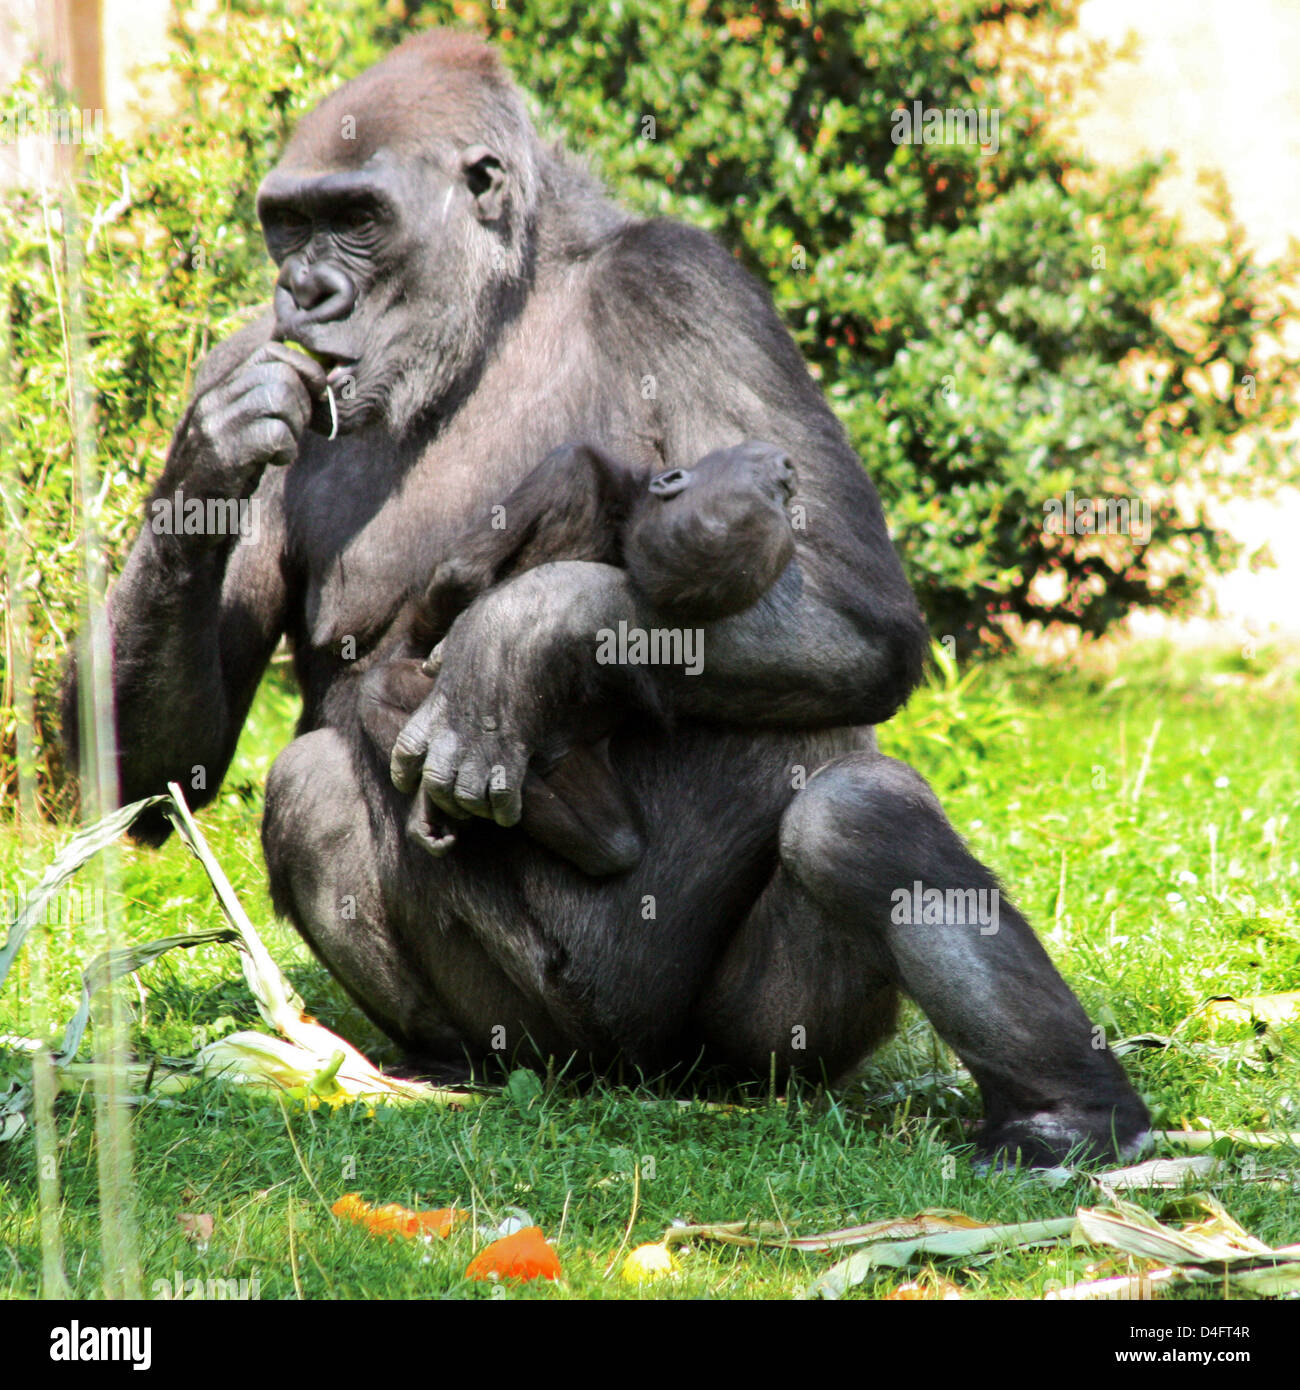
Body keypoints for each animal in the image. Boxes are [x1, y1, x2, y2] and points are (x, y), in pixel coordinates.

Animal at [361, 439, 800, 872]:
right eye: (771, 489)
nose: (787, 471)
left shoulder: (571, 469)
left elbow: (458, 573)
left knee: (380, 691)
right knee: (613, 842)